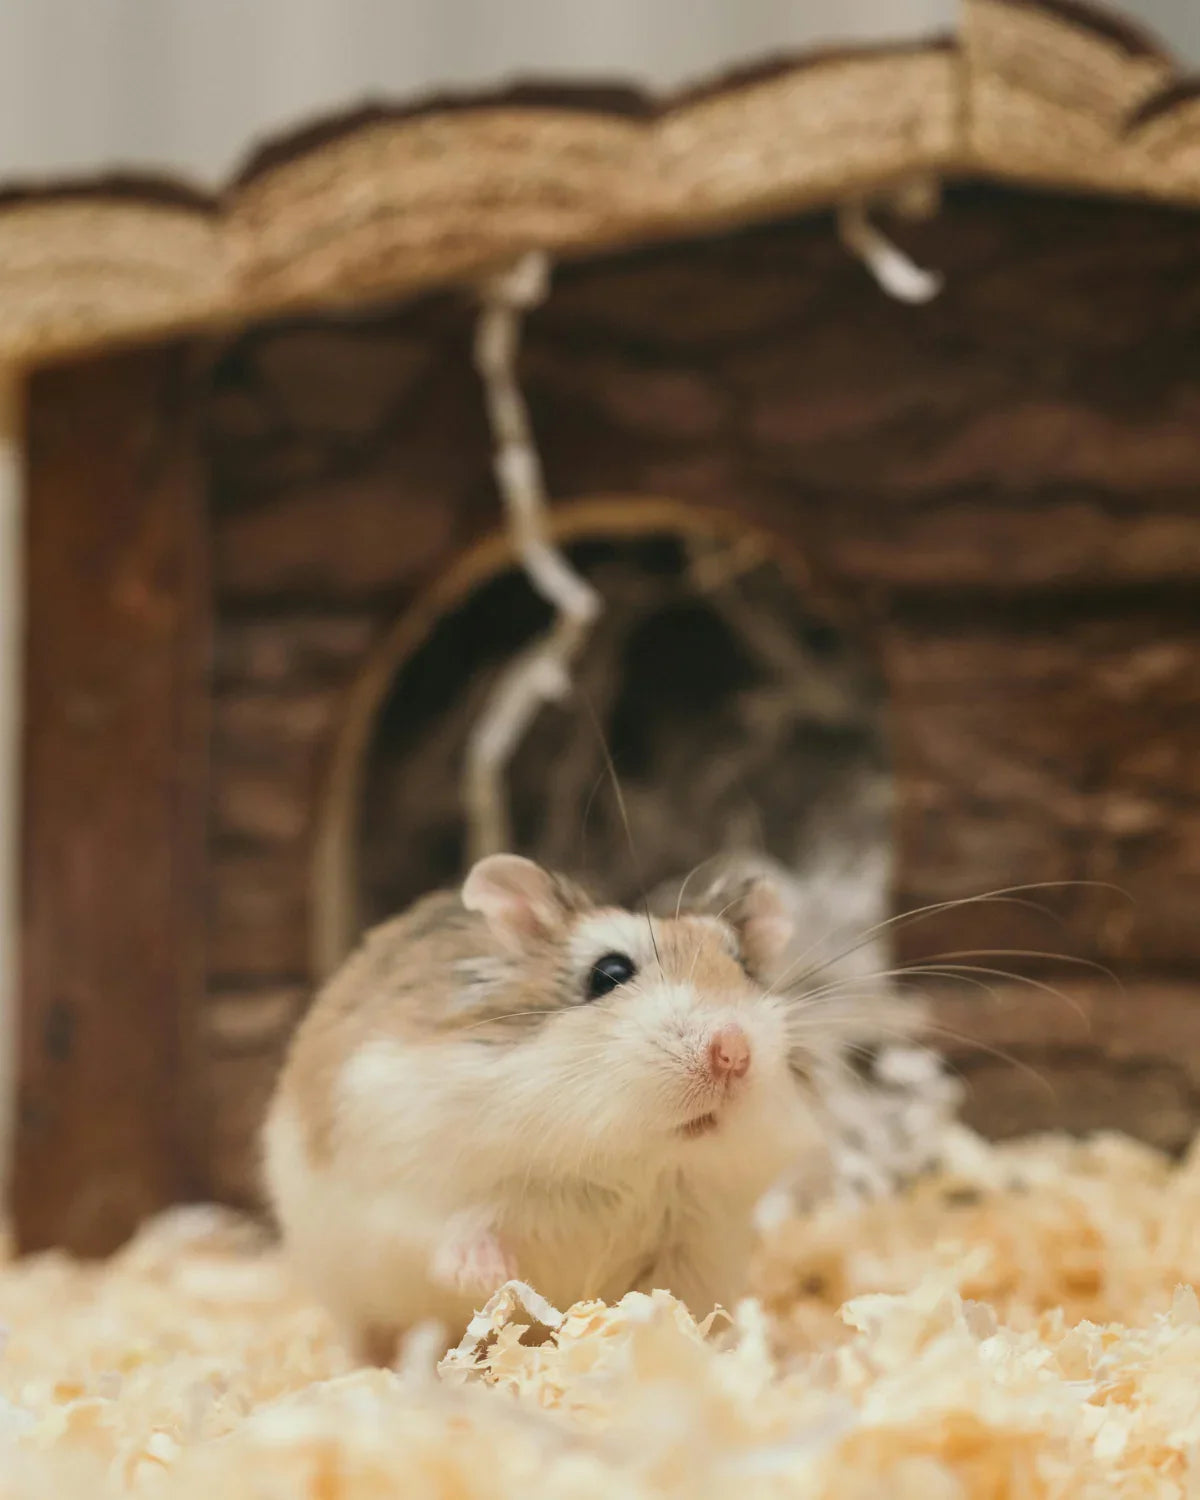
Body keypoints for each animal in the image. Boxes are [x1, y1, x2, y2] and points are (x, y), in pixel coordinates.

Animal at [262, 853, 831, 1364]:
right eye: (609, 972)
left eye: (744, 967)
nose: (733, 1052)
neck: (628, 1160)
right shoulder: (410, 1181)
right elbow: (452, 1230)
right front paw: (489, 1276)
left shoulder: (697, 1244)